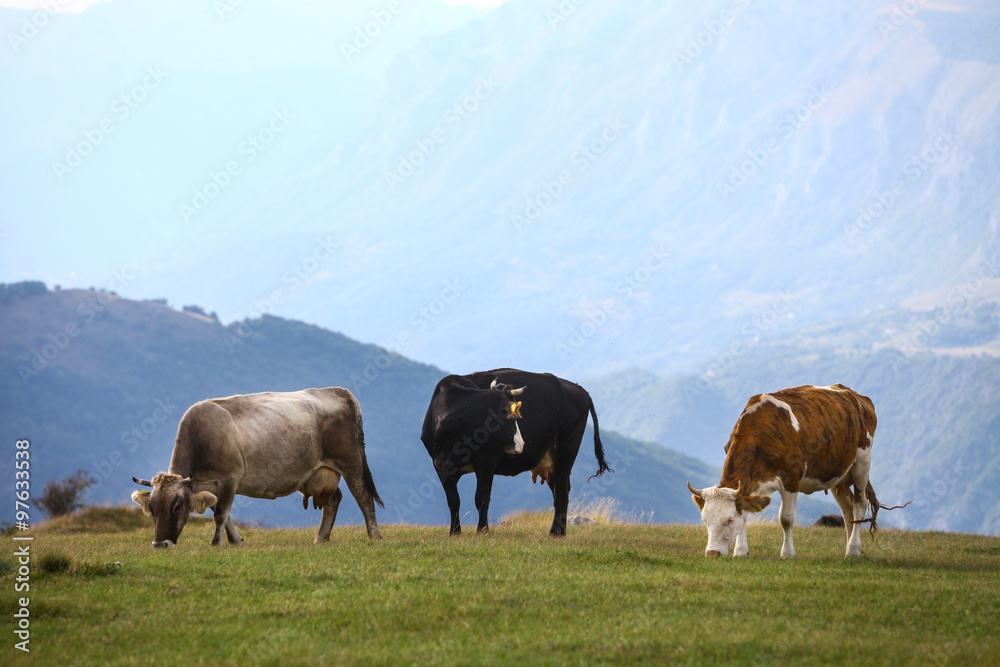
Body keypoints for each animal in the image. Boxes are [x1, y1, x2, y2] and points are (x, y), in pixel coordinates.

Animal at [131, 387, 383, 548]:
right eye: (152, 508)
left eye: (176, 507)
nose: (160, 544)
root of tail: (336, 390)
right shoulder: (206, 486)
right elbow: (221, 512)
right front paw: (235, 540)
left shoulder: (230, 478)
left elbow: (221, 514)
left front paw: (216, 543)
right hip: (317, 473)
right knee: (334, 499)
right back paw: (321, 538)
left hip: (351, 462)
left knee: (363, 496)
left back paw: (374, 536)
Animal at [420, 369, 612, 537]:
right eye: (508, 417)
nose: (521, 444)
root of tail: (580, 390)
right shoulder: (440, 465)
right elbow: (453, 501)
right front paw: (455, 532)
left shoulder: (486, 461)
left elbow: (481, 498)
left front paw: (483, 531)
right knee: (559, 492)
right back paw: (560, 531)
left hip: (567, 449)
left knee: (562, 490)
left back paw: (555, 532)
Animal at [687, 384, 899, 558]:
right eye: (705, 520)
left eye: (729, 520)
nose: (712, 553)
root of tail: (855, 395)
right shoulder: (752, 483)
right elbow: (746, 514)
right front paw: (740, 551)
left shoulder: (791, 477)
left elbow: (786, 518)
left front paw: (787, 553)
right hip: (839, 476)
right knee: (848, 511)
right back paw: (849, 548)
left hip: (862, 463)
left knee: (859, 504)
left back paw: (853, 549)